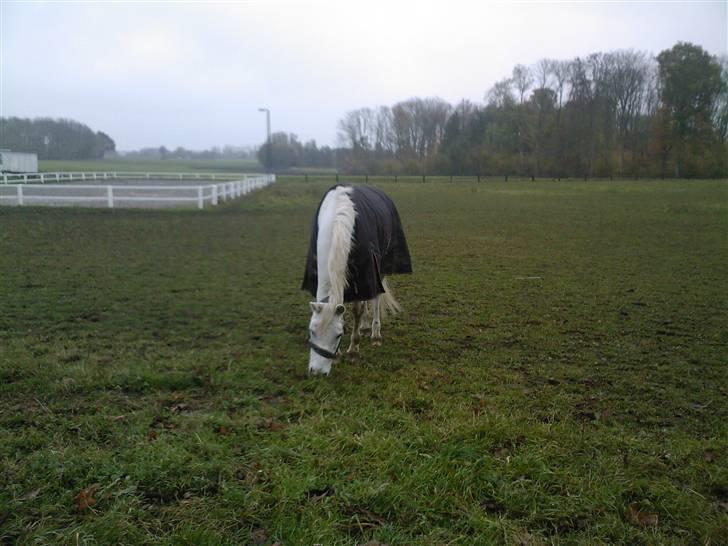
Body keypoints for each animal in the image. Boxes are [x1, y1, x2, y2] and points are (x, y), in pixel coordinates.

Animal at [302, 184, 412, 374]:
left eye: (339, 334)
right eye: (312, 331)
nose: (317, 372)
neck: (337, 219)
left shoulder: (366, 270)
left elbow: (357, 310)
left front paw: (353, 350)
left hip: (379, 268)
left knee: (375, 298)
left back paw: (375, 334)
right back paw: (366, 327)